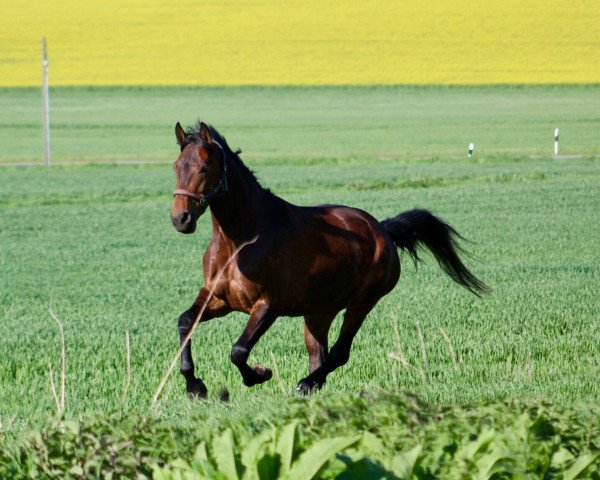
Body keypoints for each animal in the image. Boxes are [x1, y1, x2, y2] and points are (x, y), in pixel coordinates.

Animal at [170, 121, 488, 398]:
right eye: (175, 167)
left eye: (204, 167)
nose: (180, 219)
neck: (241, 241)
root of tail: (383, 230)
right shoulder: (218, 299)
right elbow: (185, 322)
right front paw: (195, 386)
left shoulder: (267, 306)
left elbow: (238, 351)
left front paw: (260, 375)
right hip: (319, 311)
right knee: (318, 354)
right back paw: (311, 386)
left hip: (362, 303)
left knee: (339, 353)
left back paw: (305, 384)